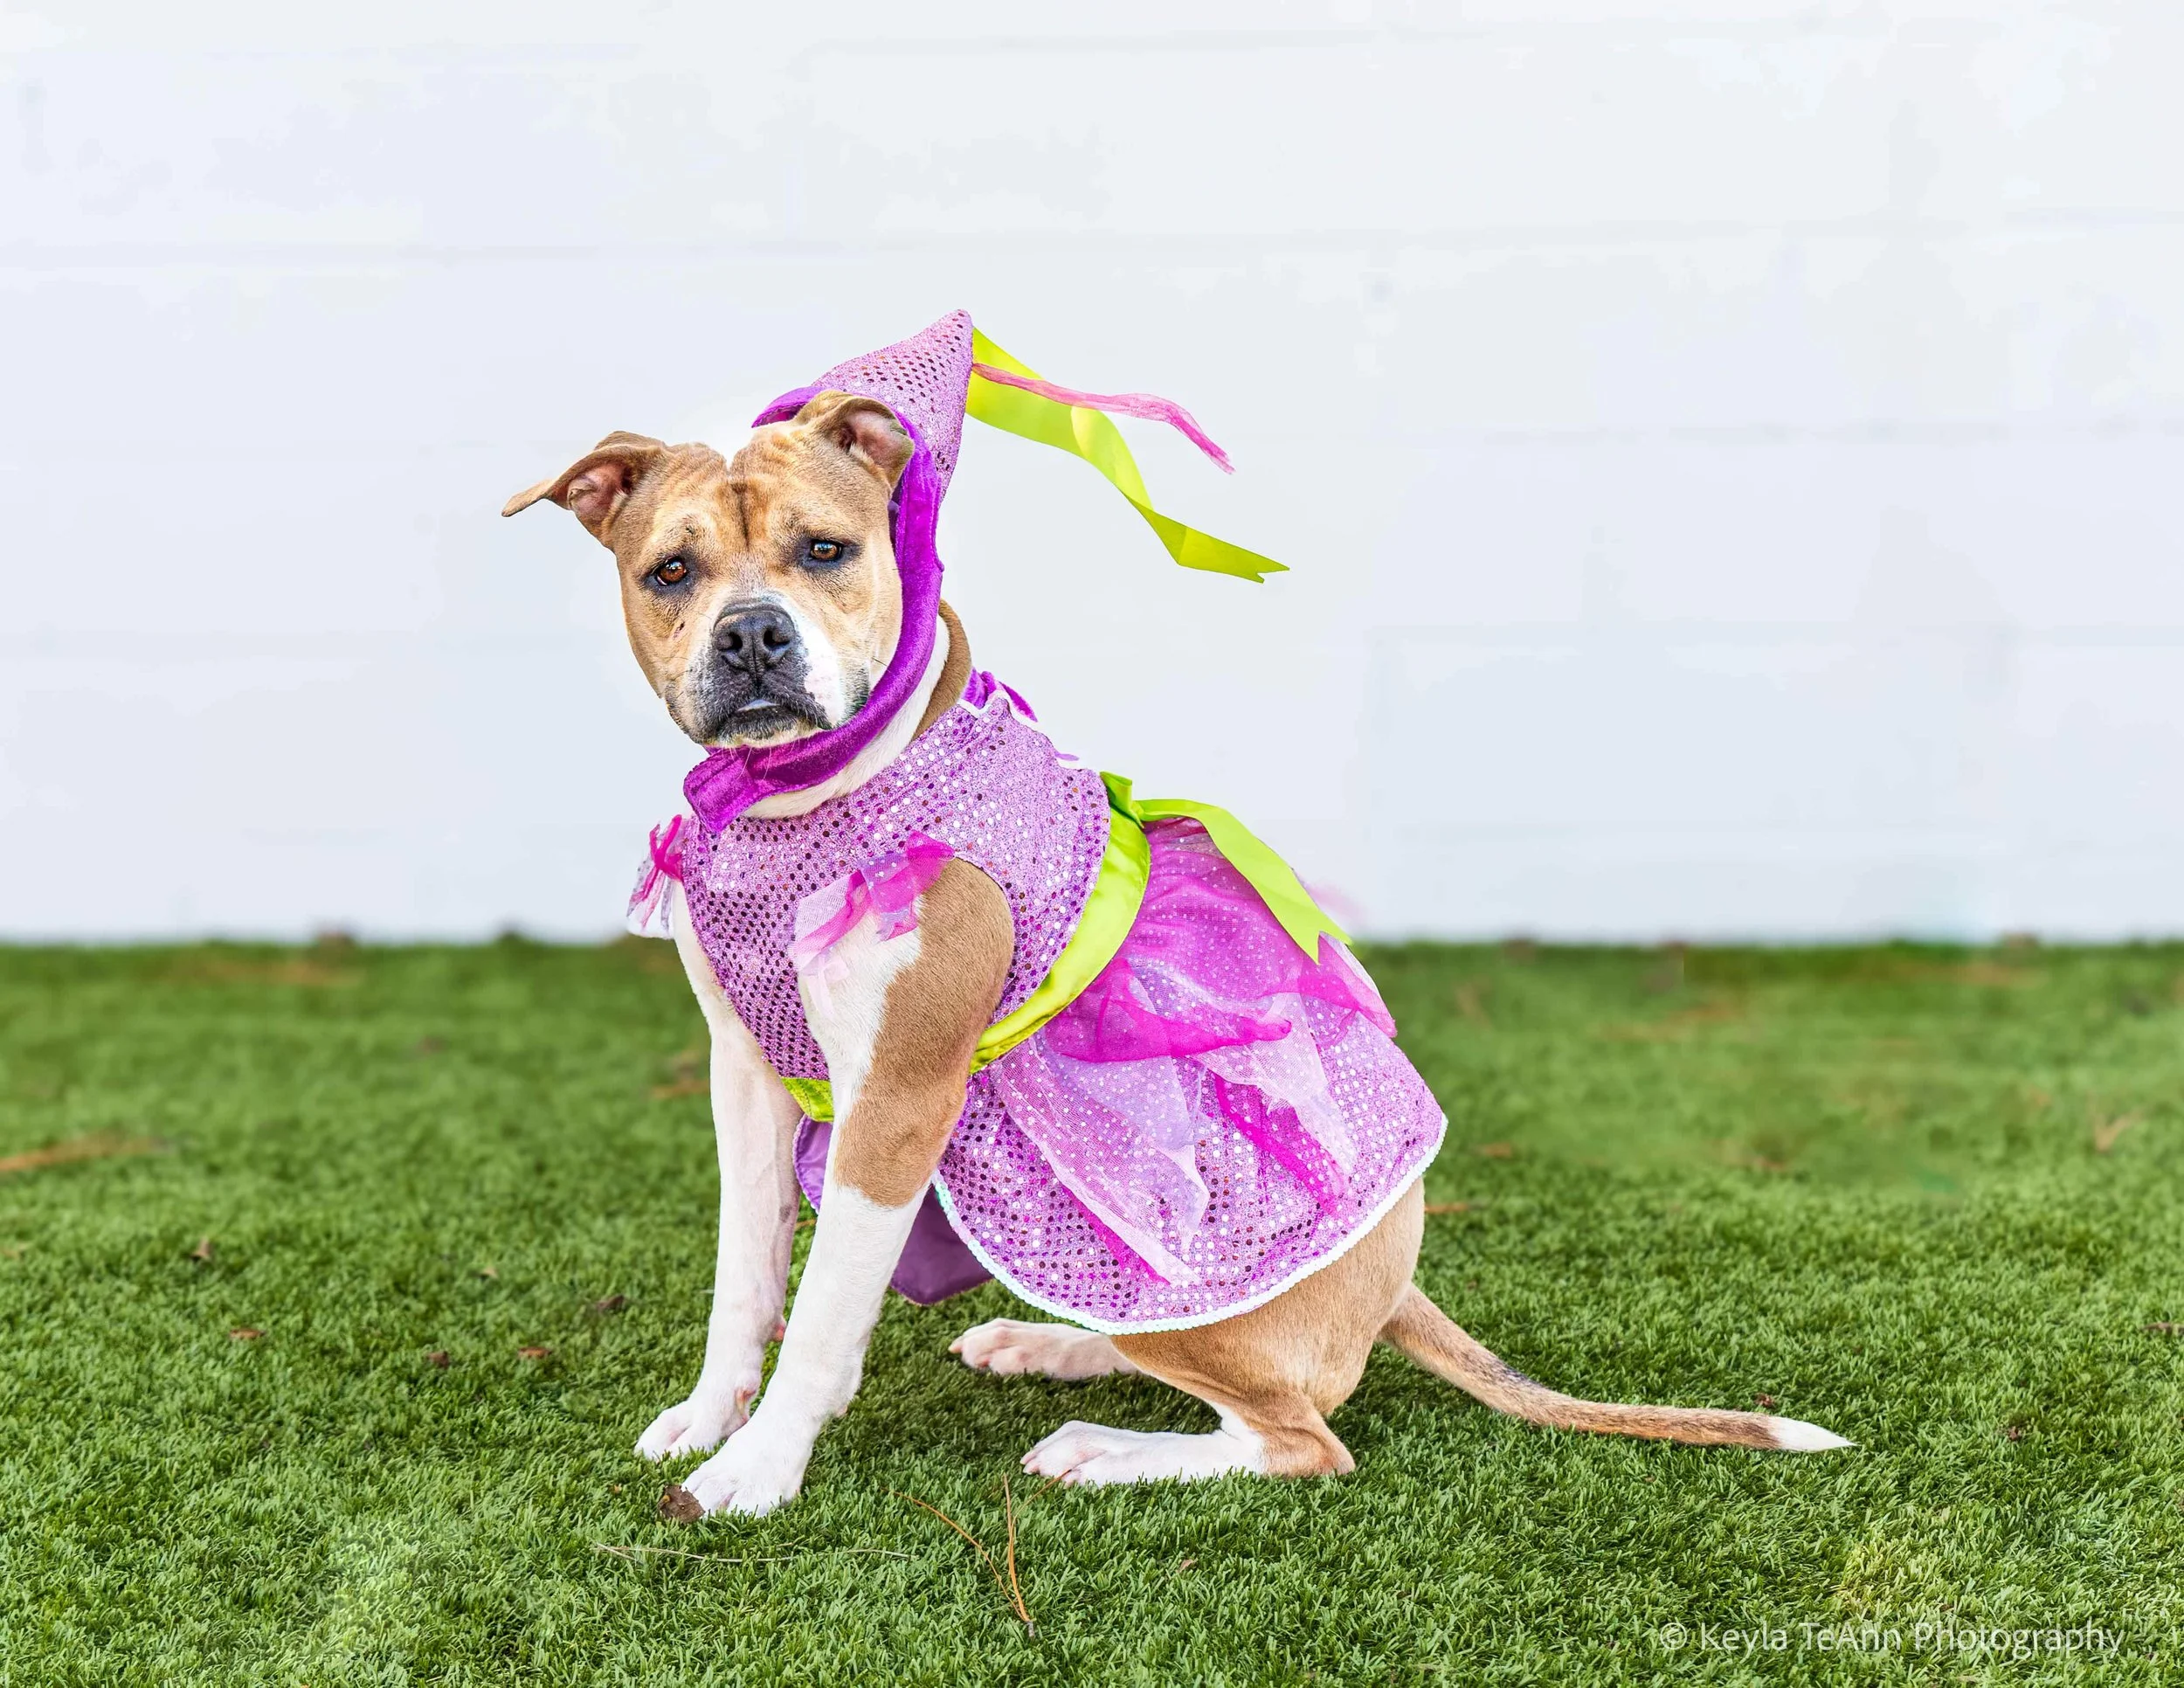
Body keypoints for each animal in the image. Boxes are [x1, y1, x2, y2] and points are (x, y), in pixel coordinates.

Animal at [504, 388, 1848, 1519]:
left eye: (826, 551)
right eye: (671, 572)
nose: (751, 639)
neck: (809, 804)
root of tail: (1398, 1286)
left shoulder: (900, 1097)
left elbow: (829, 1301)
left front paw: (761, 1465)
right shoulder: (745, 1071)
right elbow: (747, 1273)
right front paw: (709, 1416)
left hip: (1190, 1297)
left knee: (1300, 1438)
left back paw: (1106, 1450)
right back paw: (1048, 1345)